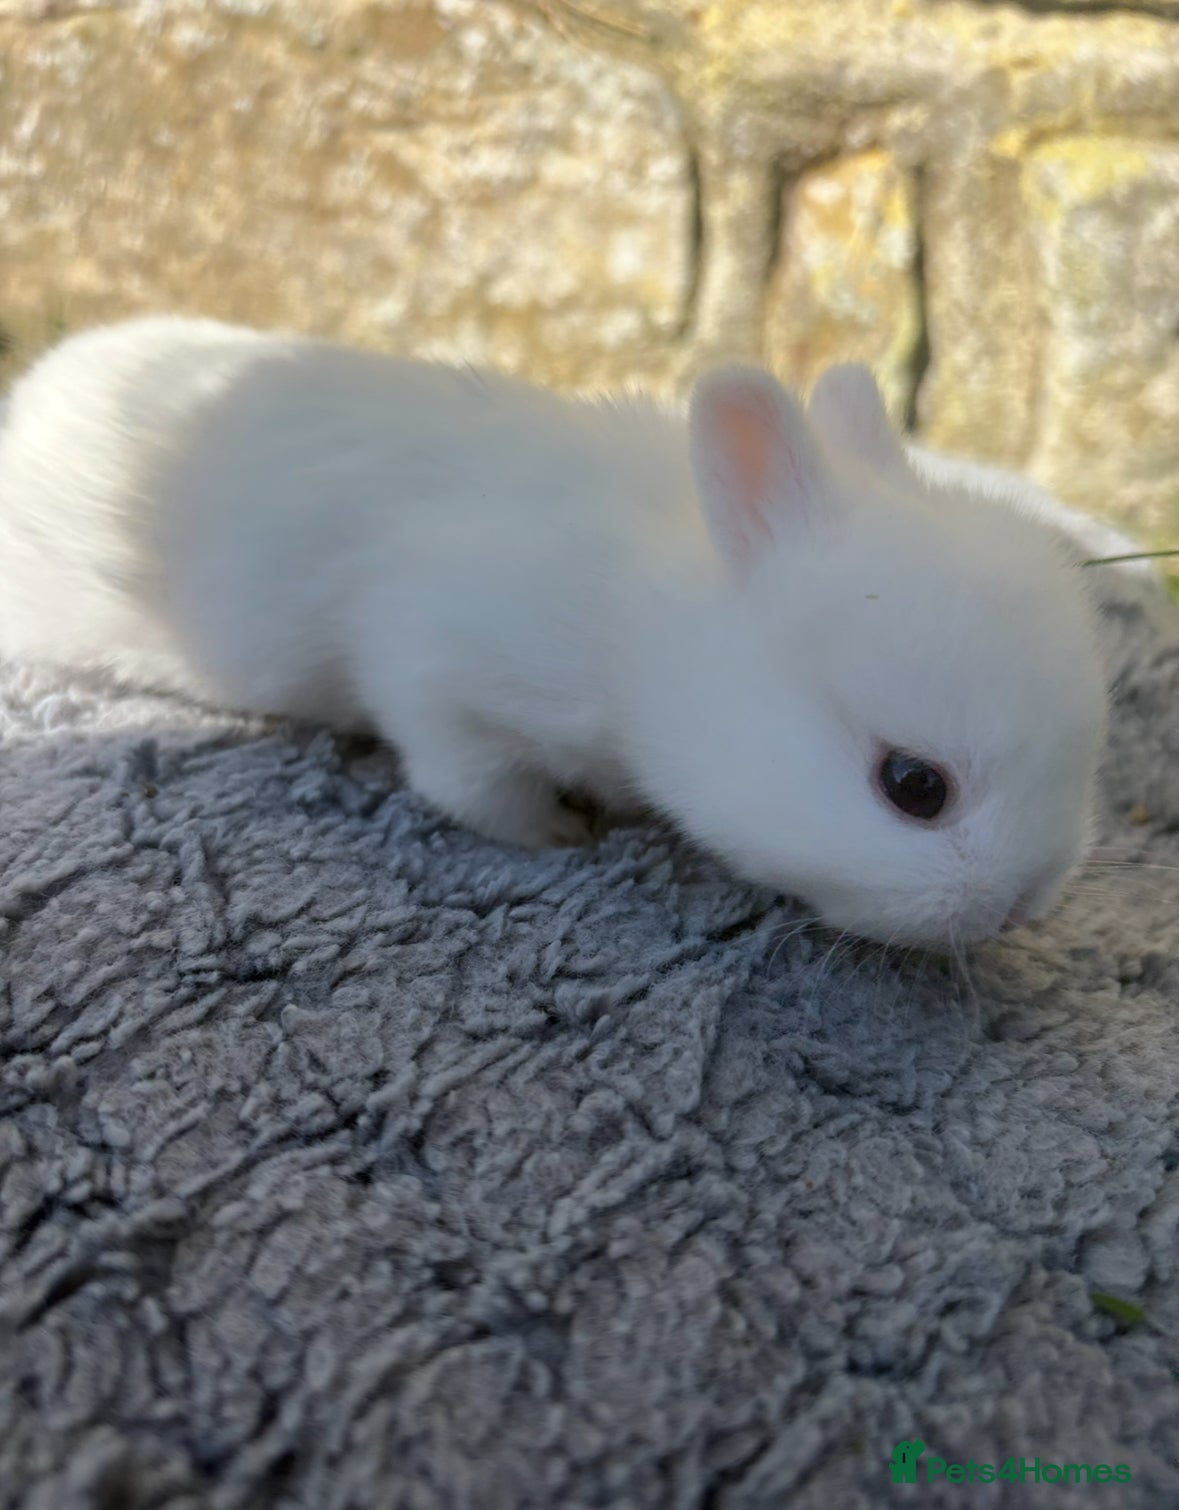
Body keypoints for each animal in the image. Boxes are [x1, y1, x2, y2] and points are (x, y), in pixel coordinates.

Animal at [0, 315, 1108, 949]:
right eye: (914, 786)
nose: (1024, 904)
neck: (646, 627)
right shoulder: (431, 657)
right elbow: (467, 778)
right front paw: (561, 834)